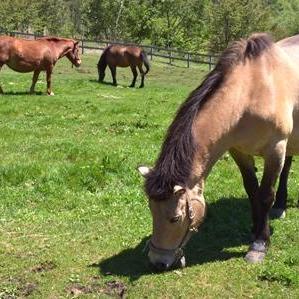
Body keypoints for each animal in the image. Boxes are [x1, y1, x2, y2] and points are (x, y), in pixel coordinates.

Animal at [139, 33, 299, 272]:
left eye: (175, 218)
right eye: (151, 210)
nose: (157, 262)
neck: (252, 92)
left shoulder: (275, 149)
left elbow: (264, 196)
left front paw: (259, 244)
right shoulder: (238, 151)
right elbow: (252, 190)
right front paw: (255, 229)